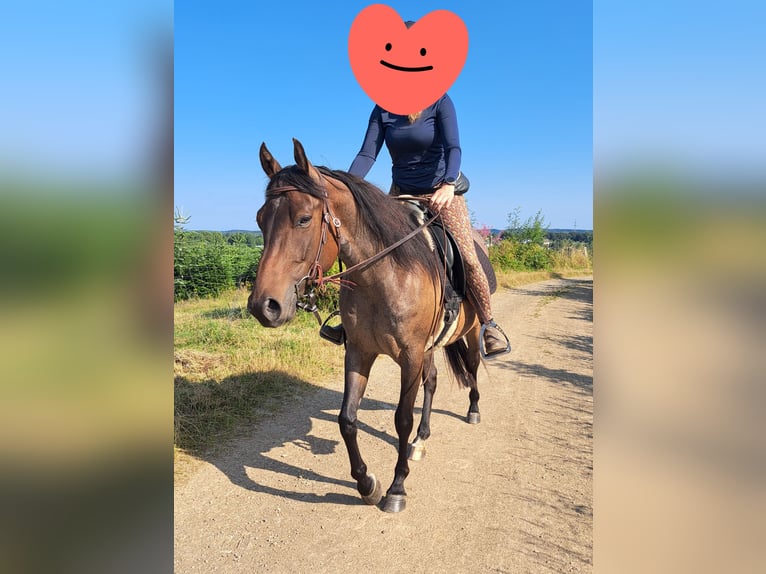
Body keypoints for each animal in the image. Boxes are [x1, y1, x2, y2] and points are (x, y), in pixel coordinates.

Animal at [248, 138, 486, 513]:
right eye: (260, 219)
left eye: (303, 219)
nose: (264, 306)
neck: (383, 276)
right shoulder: (359, 351)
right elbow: (347, 419)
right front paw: (367, 484)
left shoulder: (410, 357)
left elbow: (401, 418)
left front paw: (396, 488)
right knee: (432, 382)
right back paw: (421, 439)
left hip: (470, 333)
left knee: (474, 367)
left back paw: (473, 410)